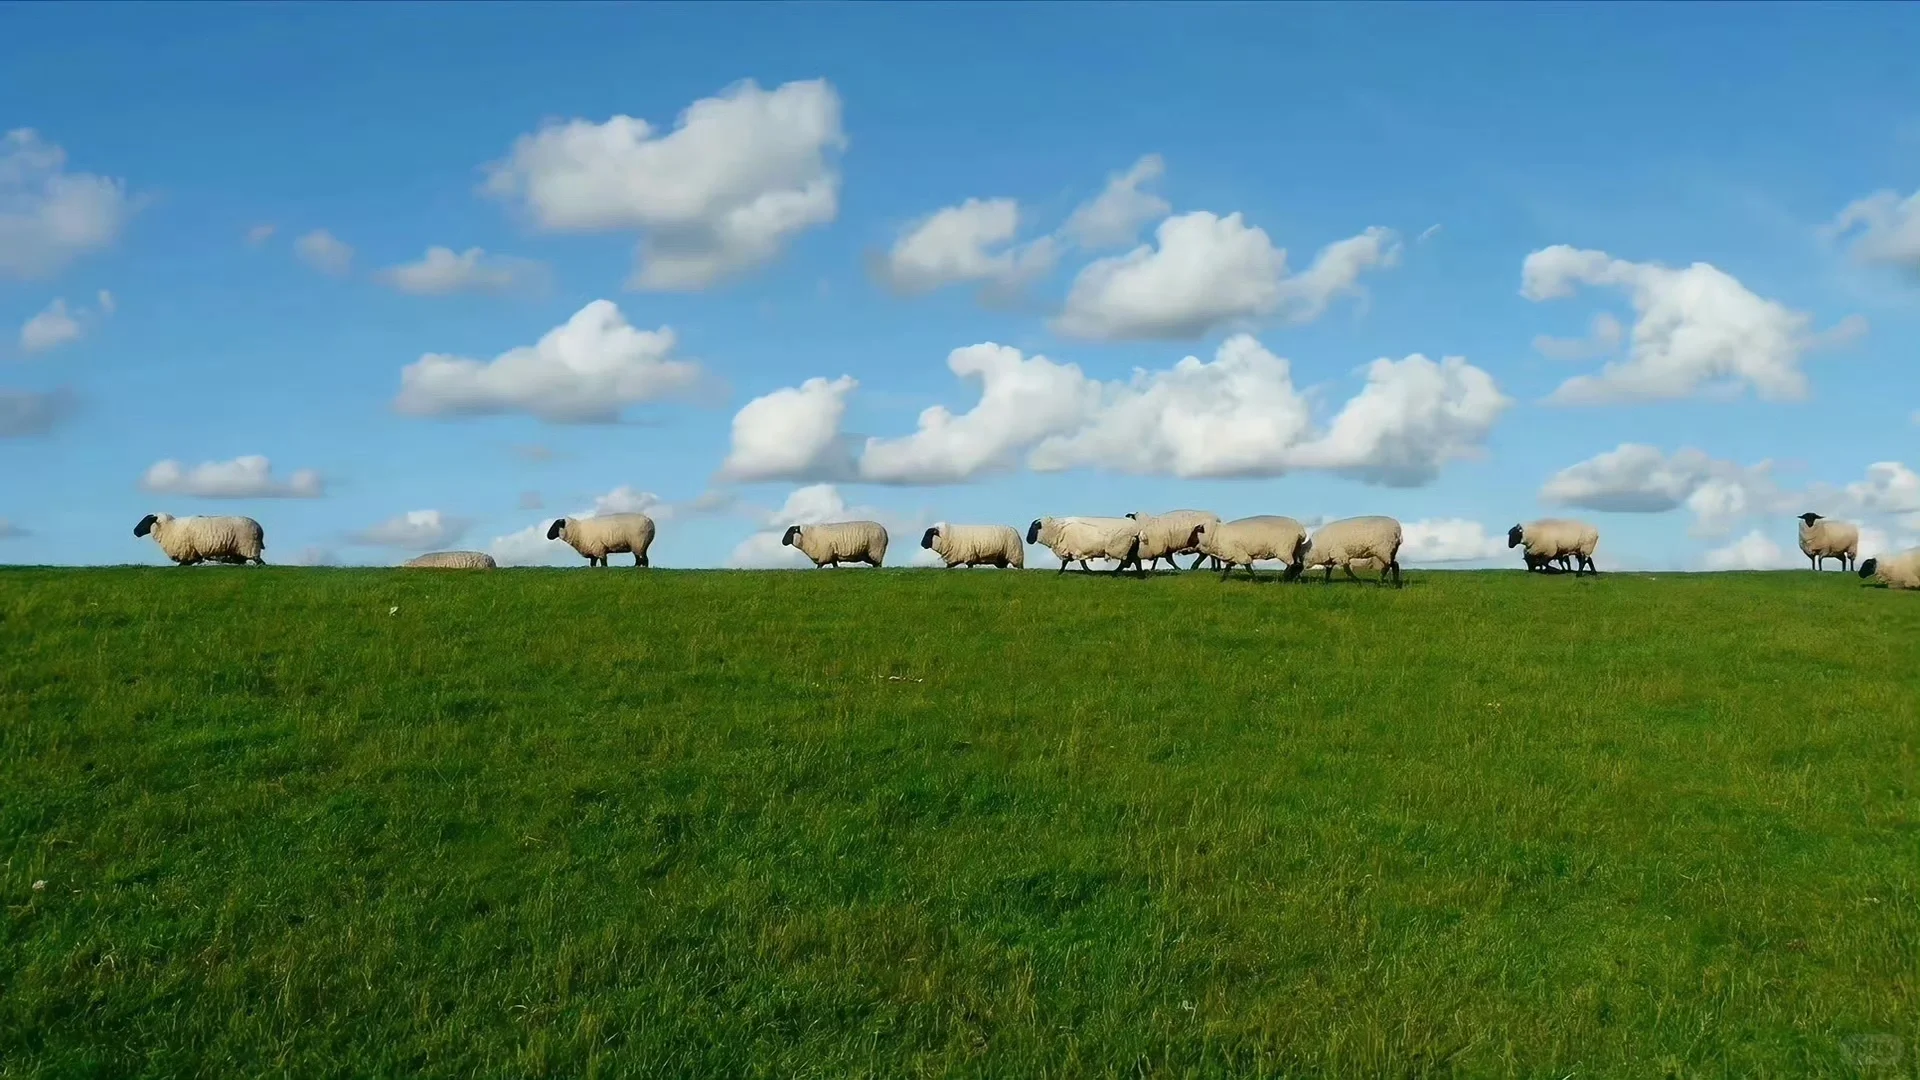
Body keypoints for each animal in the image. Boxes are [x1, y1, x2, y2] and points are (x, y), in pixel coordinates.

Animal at [132, 511, 266, 564]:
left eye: (146, 521)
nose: (135, 531)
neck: (170, 527)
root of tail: (259, 528)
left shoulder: (186, 551)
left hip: (249, 547)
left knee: (260, 562)